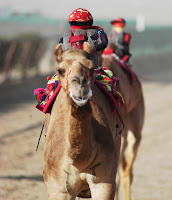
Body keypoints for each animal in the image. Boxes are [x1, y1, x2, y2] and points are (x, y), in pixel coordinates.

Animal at [42, 42, 127, 200]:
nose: (80, 83)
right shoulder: (58, 189)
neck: (78, 161)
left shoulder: (104, 182)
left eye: (91, 68)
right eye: (60, 70)